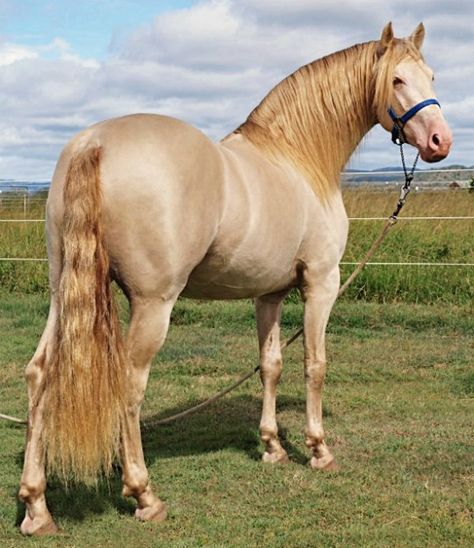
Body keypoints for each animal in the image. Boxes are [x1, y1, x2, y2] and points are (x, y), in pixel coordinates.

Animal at [18, 23, 452, 532]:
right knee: (129, 383)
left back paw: (36, 506)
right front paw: (318, 450)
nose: (441, 141)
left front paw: (272, 447)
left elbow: (270, 365)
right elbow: (315, 365)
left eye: (431, 76)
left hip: (61, 292)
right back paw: (145, 495)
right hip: (152, 304)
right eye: (398, 80)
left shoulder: (269, 294)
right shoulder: (321, 284)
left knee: (40, 375)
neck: (297, 160)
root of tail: (95, 143)